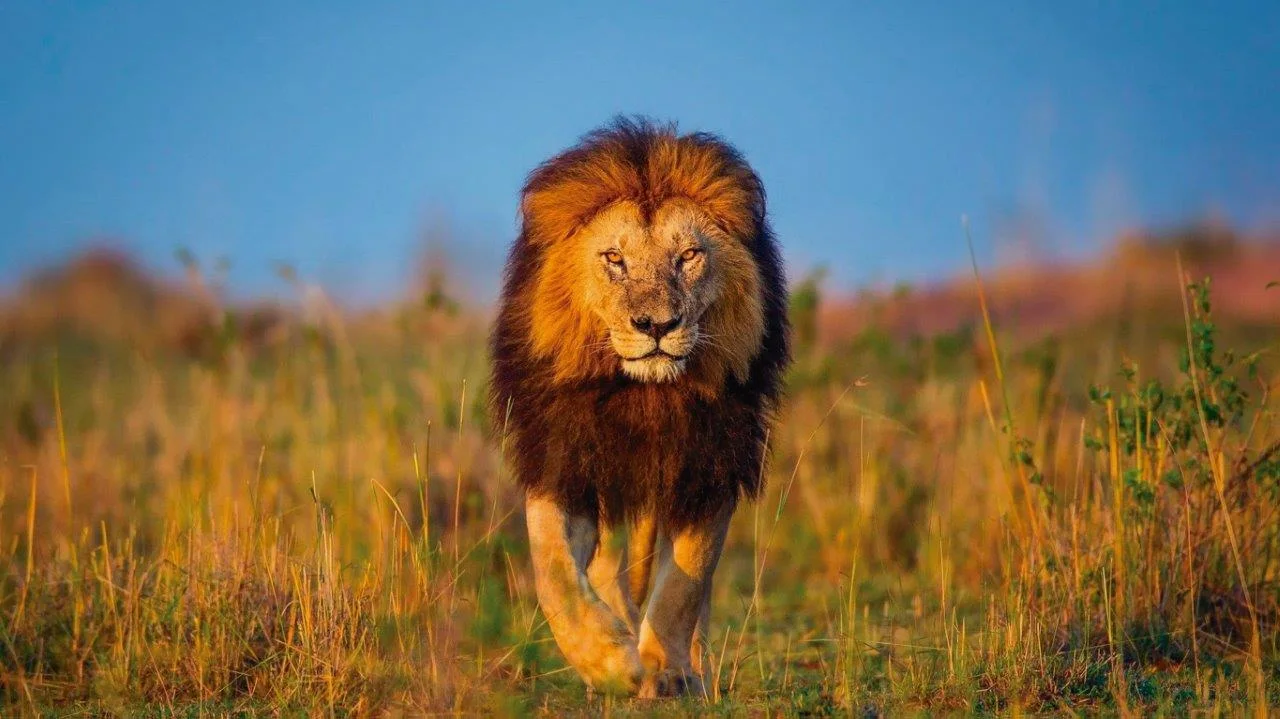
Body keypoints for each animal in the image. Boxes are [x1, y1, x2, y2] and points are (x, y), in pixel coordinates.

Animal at [489, 117, 790, 698]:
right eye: (614, 259)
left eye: (688, 255)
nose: (656, 325)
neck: (644, 395)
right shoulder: (564, 462)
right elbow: (554, 573)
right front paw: (610, 663)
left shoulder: (708, 465)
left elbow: (684, 585)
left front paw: (666, 670)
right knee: (606, 569)